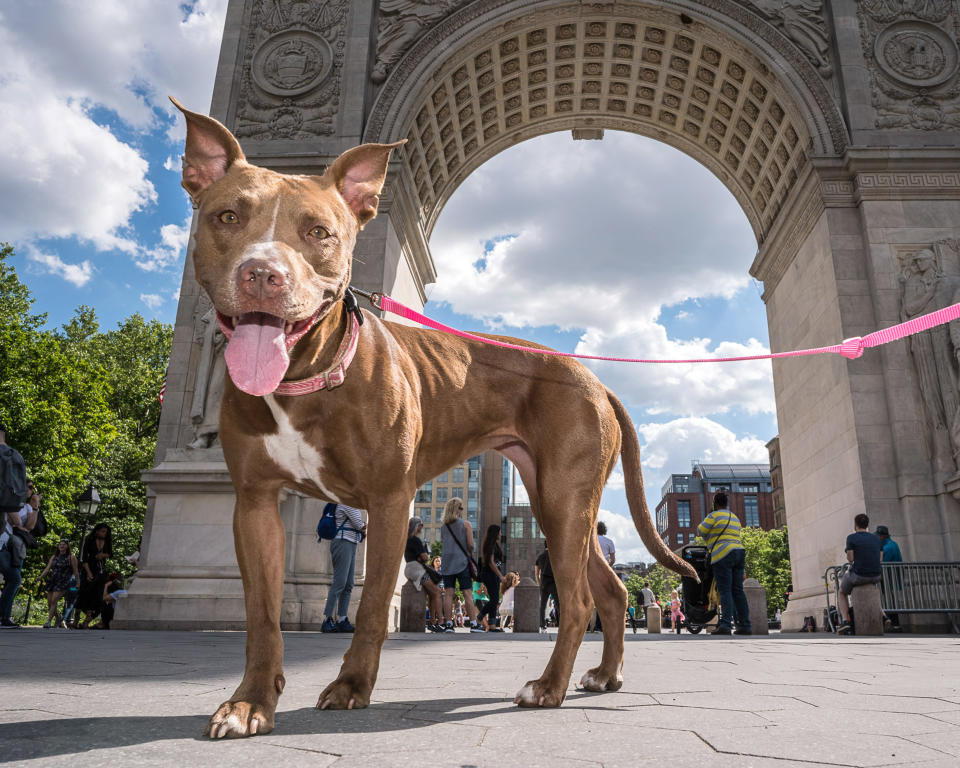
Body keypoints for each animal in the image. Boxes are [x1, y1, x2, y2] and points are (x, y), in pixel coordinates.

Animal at [171, 97, 696, 736]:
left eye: (319, 232)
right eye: (226, 217)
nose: (262, 275)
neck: (306, 375)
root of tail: (594, 378)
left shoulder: (390, 502)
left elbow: (373, 604)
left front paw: (352, 686)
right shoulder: (254, 505)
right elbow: (261, 617)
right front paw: (250, 702)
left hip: (563, 503)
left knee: (576, 602)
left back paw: (548, 687)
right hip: (563, 505)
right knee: (614, 592)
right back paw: (603, 675)